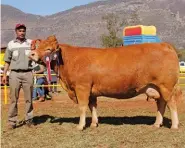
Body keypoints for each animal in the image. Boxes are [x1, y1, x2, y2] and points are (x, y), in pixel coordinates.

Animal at [28, 35, 182, 130]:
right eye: (38, 46)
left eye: (48, 49)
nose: (31, 54)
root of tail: (164, 45)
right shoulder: (91, 92)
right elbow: (92, 106)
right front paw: (94, 123)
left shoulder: (82, 88)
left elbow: (82, 107)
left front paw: (80, 126)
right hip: (155, 87)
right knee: (161, 104)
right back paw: (156, 124)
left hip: (166, 86)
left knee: (171, 103)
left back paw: (174, 125)